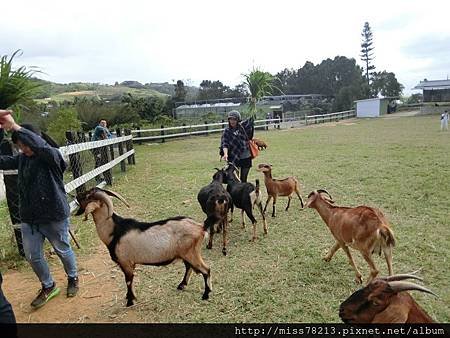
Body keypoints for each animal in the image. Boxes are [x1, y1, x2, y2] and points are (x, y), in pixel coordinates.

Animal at [75, 187, 213, 306]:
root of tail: (200, 228)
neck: (115, 231)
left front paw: (130, 301)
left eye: (87, 196)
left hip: (191, 253)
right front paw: (129, 297)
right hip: (186, 253)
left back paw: (206, 294)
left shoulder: (126, 262)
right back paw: (182, 285)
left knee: (206, 270)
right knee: (189, 267)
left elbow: (128, 281)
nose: (76, 196)